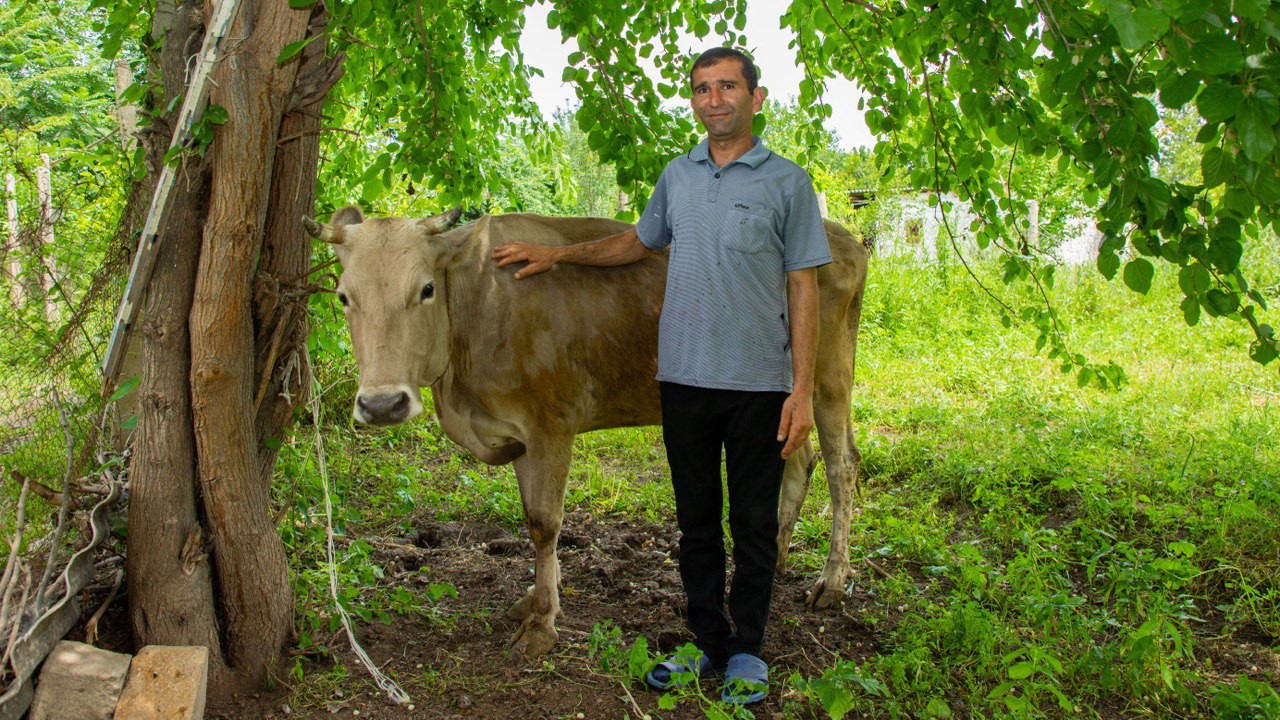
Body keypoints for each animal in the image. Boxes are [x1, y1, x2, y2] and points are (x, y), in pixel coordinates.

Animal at [302, 206, 870, 655]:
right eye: (342, 297)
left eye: (424, 288)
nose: (382, 404)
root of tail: (840, 235)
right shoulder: (519, 436)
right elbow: (530, 517)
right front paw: (536, 599)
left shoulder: (551, 425)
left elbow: (544, 523)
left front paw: (542, 624)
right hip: (784, 398)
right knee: (798, 459)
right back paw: (775, 561)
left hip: (828, 377)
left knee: (842, 467)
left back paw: (831, 581)